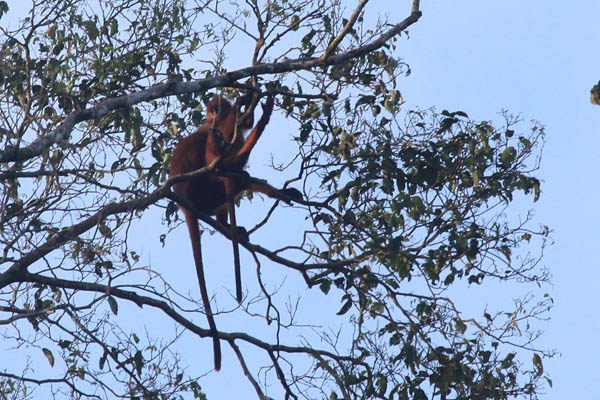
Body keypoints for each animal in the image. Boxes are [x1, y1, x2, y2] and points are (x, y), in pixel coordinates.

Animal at [169, 92, 300, 370]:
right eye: (213, 109)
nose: (215, 112)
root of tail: (184, 203)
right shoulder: (221, 130)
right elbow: (219, 161)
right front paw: (256, 111)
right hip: (208, 192)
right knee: (232, 172)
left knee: (239, 175)